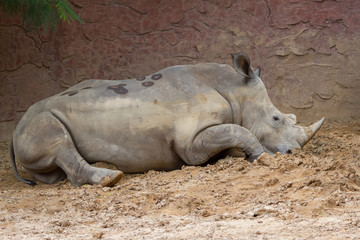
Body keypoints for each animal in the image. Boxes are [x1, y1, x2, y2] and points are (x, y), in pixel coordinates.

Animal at [9, 53, 324, 187]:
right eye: (276, 119)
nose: (294, 152)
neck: (235, 89)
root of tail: (14, 130)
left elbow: (233, 133)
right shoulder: (191, 143)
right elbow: (238, 131)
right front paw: (261, 157)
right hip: (37, 121)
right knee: (56, 139)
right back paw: (111, 178)